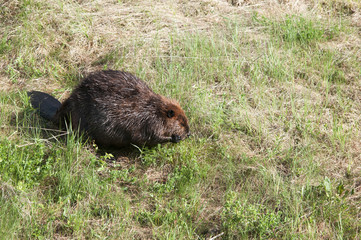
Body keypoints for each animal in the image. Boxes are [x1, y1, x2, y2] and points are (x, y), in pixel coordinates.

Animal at [29, 70, 190, 147]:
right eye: (182, 122)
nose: (188, 133)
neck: (153, 108)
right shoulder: (149, 121)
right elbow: (148, 136)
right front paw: (174, 138)